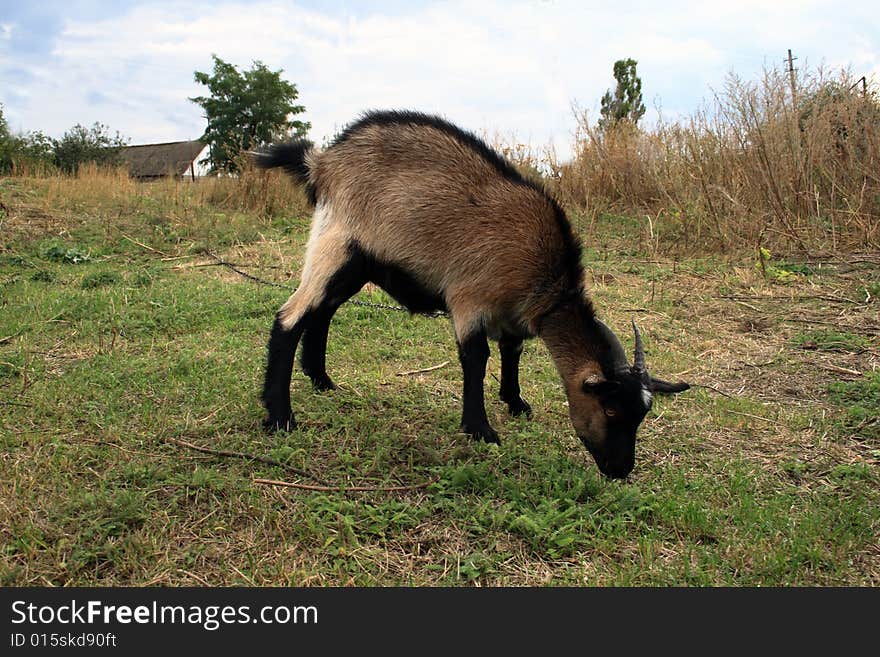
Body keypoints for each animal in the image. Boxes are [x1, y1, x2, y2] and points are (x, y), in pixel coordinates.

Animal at [254, 111, 688, 476]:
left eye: (641, 415)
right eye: (611, 409)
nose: (621, 469)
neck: (545, 280)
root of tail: (322, 161)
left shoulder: (512, 314)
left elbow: (512, 352)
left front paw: (515, 402)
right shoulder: (469, 298)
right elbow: (476, 358)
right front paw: (480, 429)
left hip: (358, 264)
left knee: (322, 311)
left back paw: (321, 380)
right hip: (335, 243)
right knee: (290, 317)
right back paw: (280, 418)